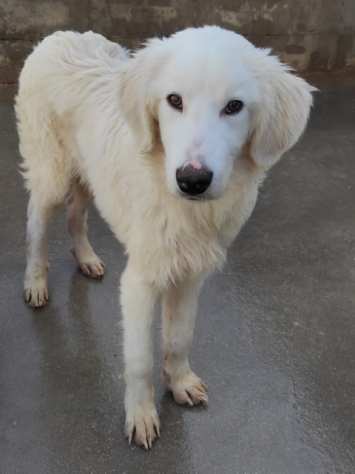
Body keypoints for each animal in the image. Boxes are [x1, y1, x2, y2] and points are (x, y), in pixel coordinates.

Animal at [15, 25, 316, 448]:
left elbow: (179, 338)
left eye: (234, 107)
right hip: (51, 176)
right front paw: (141, 416)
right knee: (36, 227)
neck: (189, 210)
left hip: (90, 175)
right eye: (174, 100)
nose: (192, 180)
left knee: (76, 215)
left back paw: (86, 258)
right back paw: (36, 283)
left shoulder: (191, 275)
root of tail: (59, 35)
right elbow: (140, 359)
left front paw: (179, 382)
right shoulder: (140, 281)